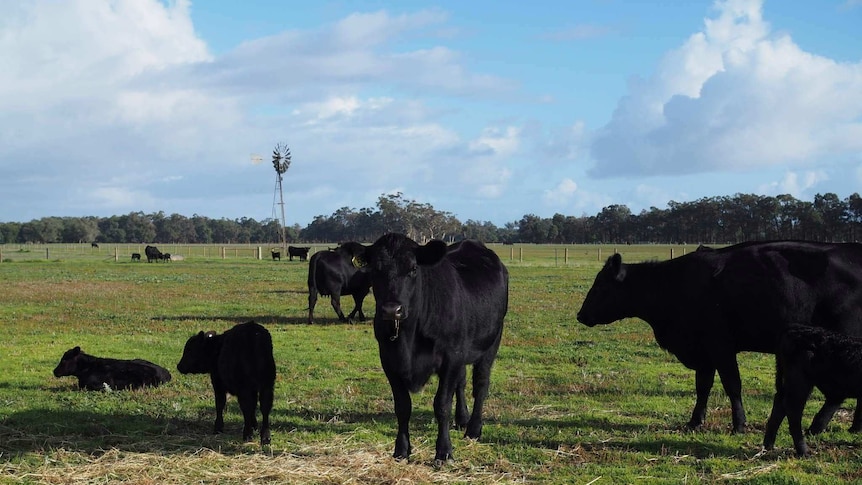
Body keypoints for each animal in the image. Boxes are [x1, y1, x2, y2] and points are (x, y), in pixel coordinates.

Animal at [362, 233, 510, 464]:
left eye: (413, 268)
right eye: (374, 269)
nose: (391, 310)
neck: (408, 337)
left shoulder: (451, 357)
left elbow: (442, 405)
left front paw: (444, 451)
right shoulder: (388, 360)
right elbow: (402, 407)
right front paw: (401, 450)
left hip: (491, 342)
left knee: (481, 385)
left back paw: (473, 429)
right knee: (462, 382)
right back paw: (462, 419)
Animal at [576, 240, 862, 432]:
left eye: (600, 287)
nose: (581, 315)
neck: (673, 285)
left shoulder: (721, 346)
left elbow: (732, 385)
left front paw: (739, 424)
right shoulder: (703, 353)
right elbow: (702, 387)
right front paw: (694, 421)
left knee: (838, 392)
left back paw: (817, 426)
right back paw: (851, 427)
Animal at [768, 324, 862, 456]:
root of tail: (795, 329)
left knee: (779, 404)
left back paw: (768, 446)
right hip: (800, 382)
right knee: (793, 409)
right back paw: (804, 451)